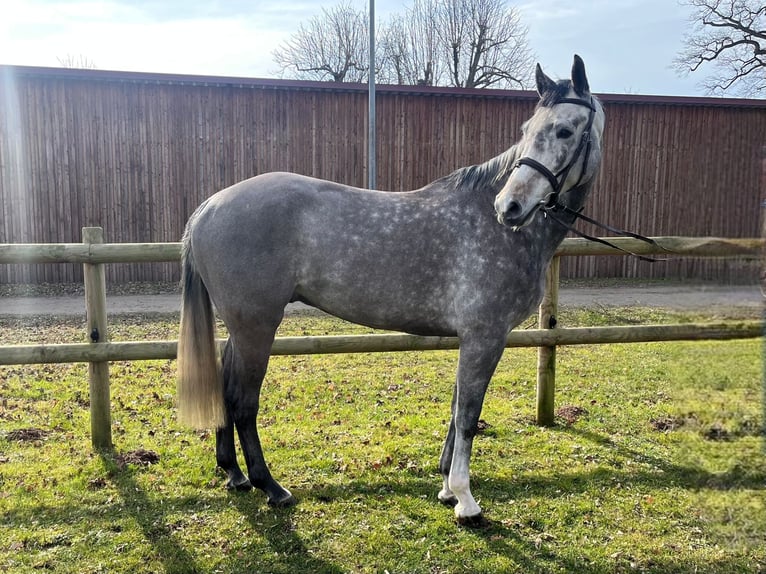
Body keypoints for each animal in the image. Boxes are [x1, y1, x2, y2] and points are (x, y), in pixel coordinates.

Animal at [178, 55, 608, 528]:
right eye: (529, 130)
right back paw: (270, 486)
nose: (509, 207)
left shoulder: (473, 339)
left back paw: (234, 474)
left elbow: (457, 410)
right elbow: (468, 414)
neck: (496, 228)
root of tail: (208, 207)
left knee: (225, 388)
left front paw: (446, 488)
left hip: (240, 328)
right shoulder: (486, 336)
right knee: (243, 401)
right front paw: (466, 501)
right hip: (256, 327)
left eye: (564, 130)